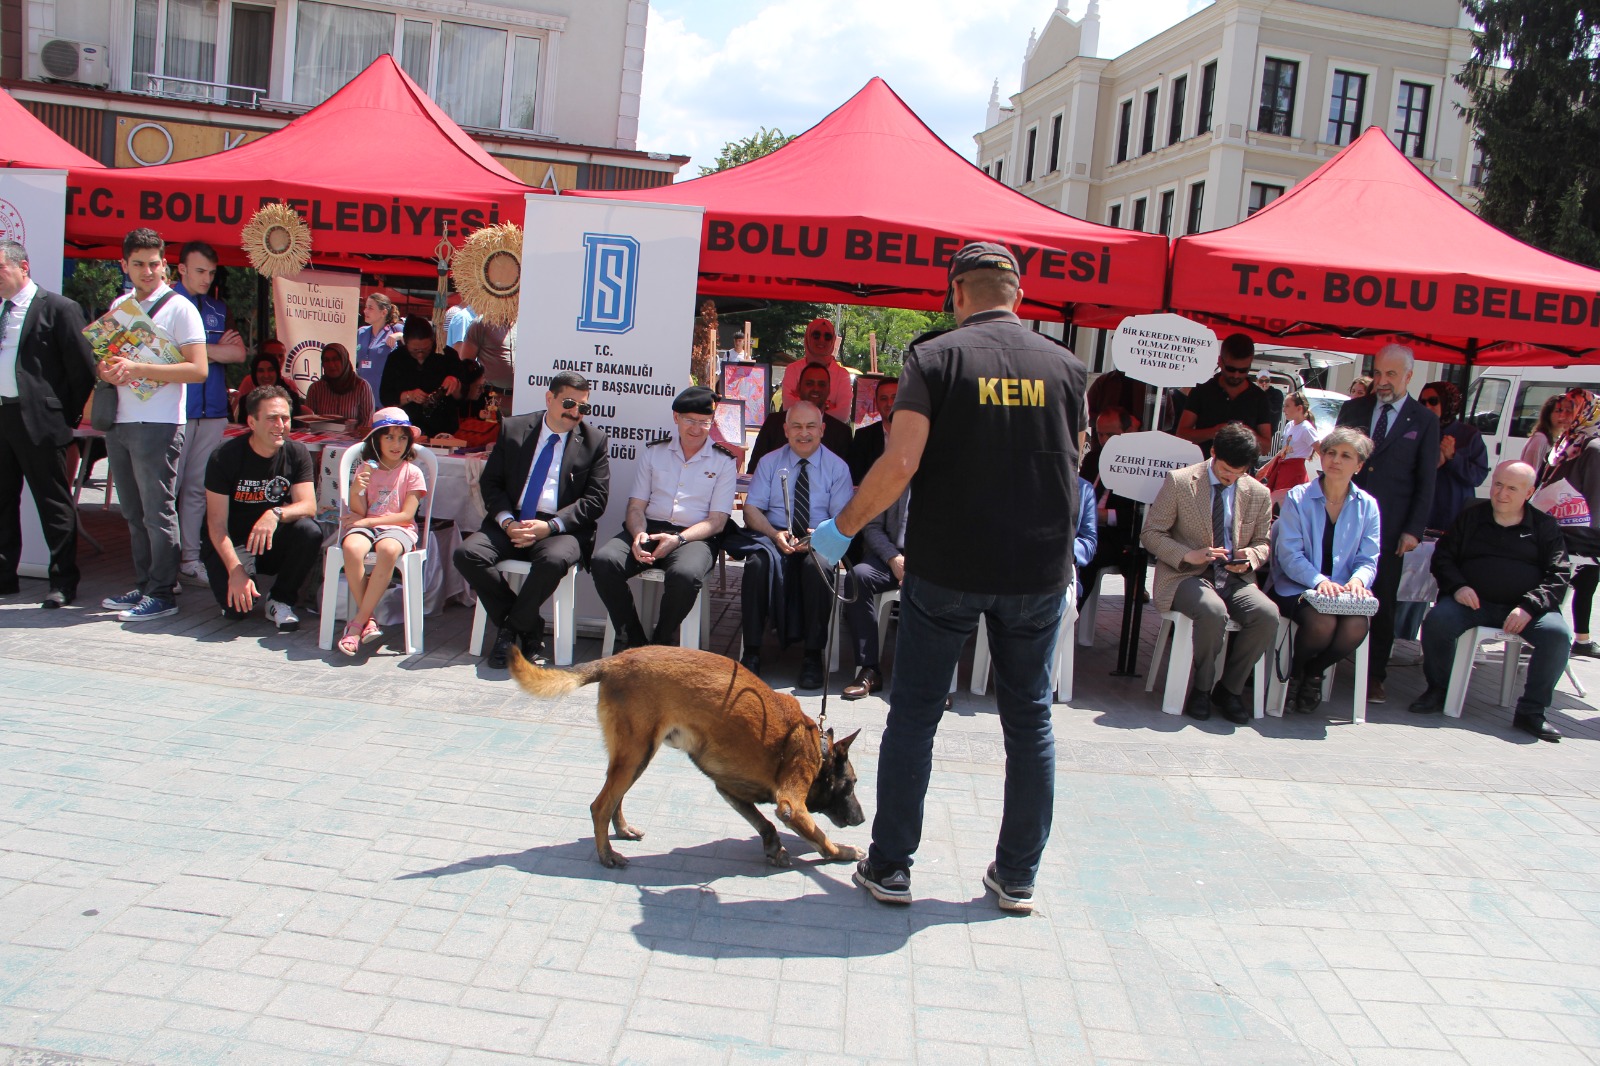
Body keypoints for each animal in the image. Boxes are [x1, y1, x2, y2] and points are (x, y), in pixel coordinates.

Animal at [508, 643, 864, 870]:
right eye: (851, 784)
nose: (862, 819)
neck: (818, 750)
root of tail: (612, 661)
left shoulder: (730, 790)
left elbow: (764, 823)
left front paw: (773, 846)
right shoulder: (792, 804)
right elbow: (821, 838)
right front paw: (844, 851)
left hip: (632, 756)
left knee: (613, 799)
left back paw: (621, 830)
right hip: (637, 754)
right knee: (600, 805)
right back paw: (607, 855)